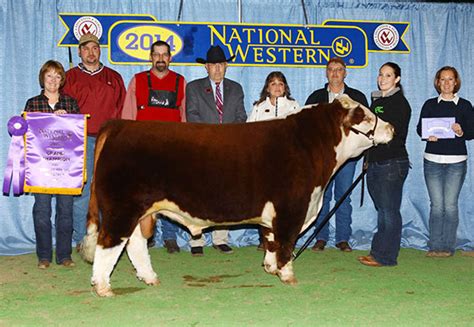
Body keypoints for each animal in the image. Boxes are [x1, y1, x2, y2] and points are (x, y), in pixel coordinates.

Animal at [80, 94, 392, 298]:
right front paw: (287, 274)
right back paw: (103, 287)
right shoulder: (291, 208)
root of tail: (120, 124)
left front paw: (270, 268)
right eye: (365, 115)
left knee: (133, 244)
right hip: (122, 207)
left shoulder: (273, 213)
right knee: (109, 243)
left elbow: (270, 240)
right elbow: (286, 243)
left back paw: (149, 278)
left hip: (138, 209)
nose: (392, 128)